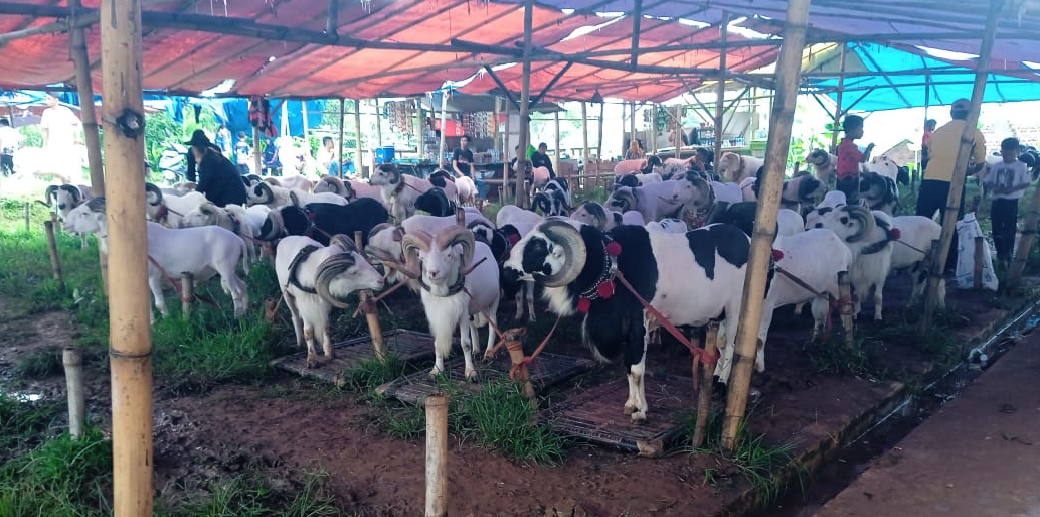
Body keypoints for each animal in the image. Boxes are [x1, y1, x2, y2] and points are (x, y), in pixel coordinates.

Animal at [64, 199, 248, 320]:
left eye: (85, 213)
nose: (64, 223)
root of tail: (237, 240)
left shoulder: (153, 275)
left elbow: (159, 303)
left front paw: (166, 319)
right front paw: (152, 323)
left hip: (224, 268)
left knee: (236, 292)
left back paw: (237, 316)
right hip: (229, 270)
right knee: (242, 287)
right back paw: (245, 310)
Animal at [276, 234, 384, 367]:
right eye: (353, 272)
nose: (381, 280)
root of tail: (285, 238)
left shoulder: (325, 304)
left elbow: (326, 327)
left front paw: (329, 353)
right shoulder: (305, 305)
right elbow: (308, 331)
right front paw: (311, 360)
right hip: (286, 294)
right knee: (295, 316)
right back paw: (300, 343)